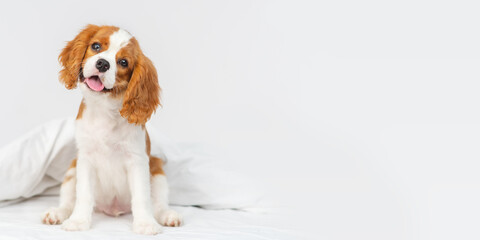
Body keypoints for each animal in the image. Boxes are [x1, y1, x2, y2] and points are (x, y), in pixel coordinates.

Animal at [41, 24, 182, 234]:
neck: (104, 109)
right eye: (96, 46)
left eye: (123, 62)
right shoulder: (85, 160)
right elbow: (83, 195)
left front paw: (145, 224)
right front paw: (78, 221)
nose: (102, 64)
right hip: (72, 169)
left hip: (157, 170)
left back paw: (168, 215)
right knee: (67, 201)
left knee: (158, 204)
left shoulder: (137, 161)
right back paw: (57, 213)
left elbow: (141, 197)